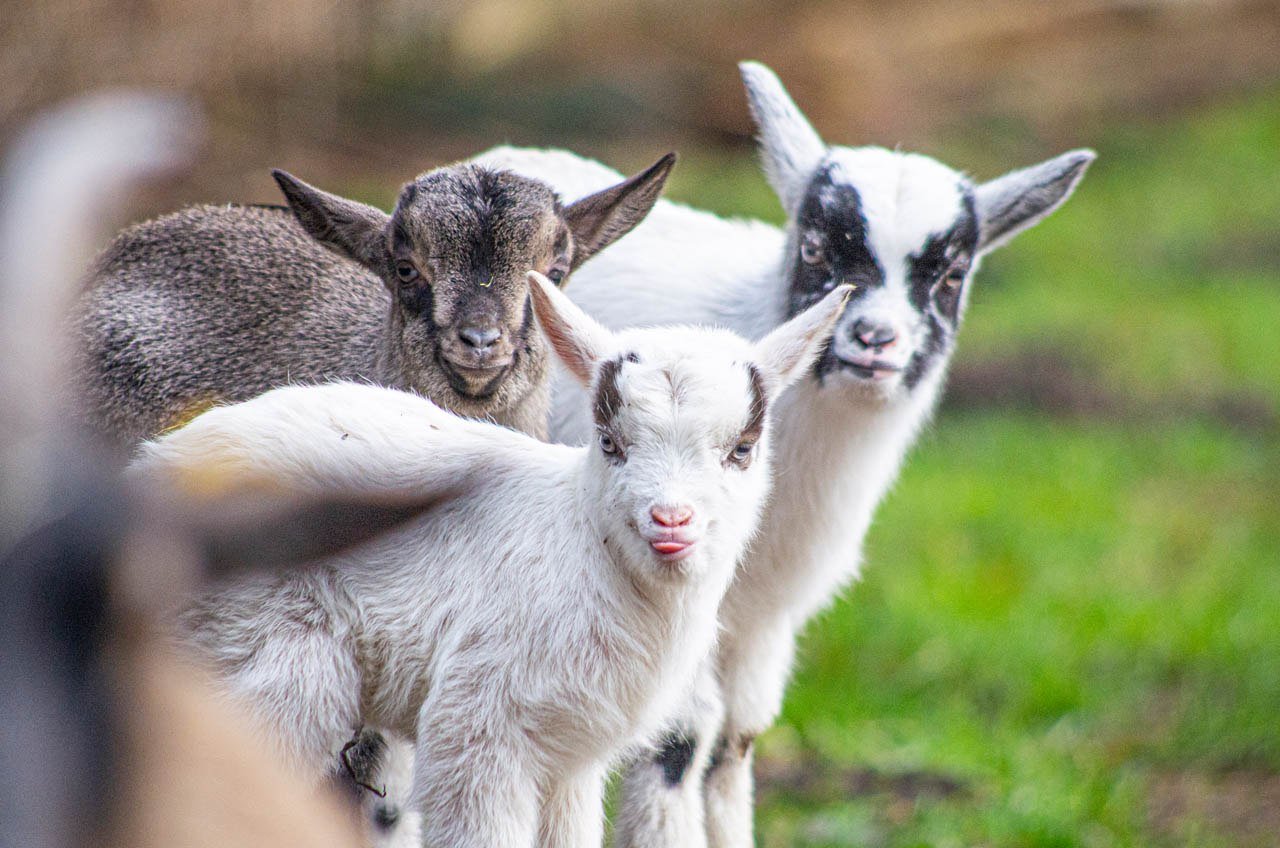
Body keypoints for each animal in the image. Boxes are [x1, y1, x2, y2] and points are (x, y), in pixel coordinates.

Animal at [132, 272, 849, 848]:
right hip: (261, 661)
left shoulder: (570, 759)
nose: (671, 522)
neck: (580, 544)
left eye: (742, 449)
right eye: (610, 442)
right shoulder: (476, 729)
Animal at [476, 61, 1095, 848]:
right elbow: (679, 739)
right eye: (815, 248)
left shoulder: (761, 624)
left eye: (953, 275)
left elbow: (734, 742)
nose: (874, 340)